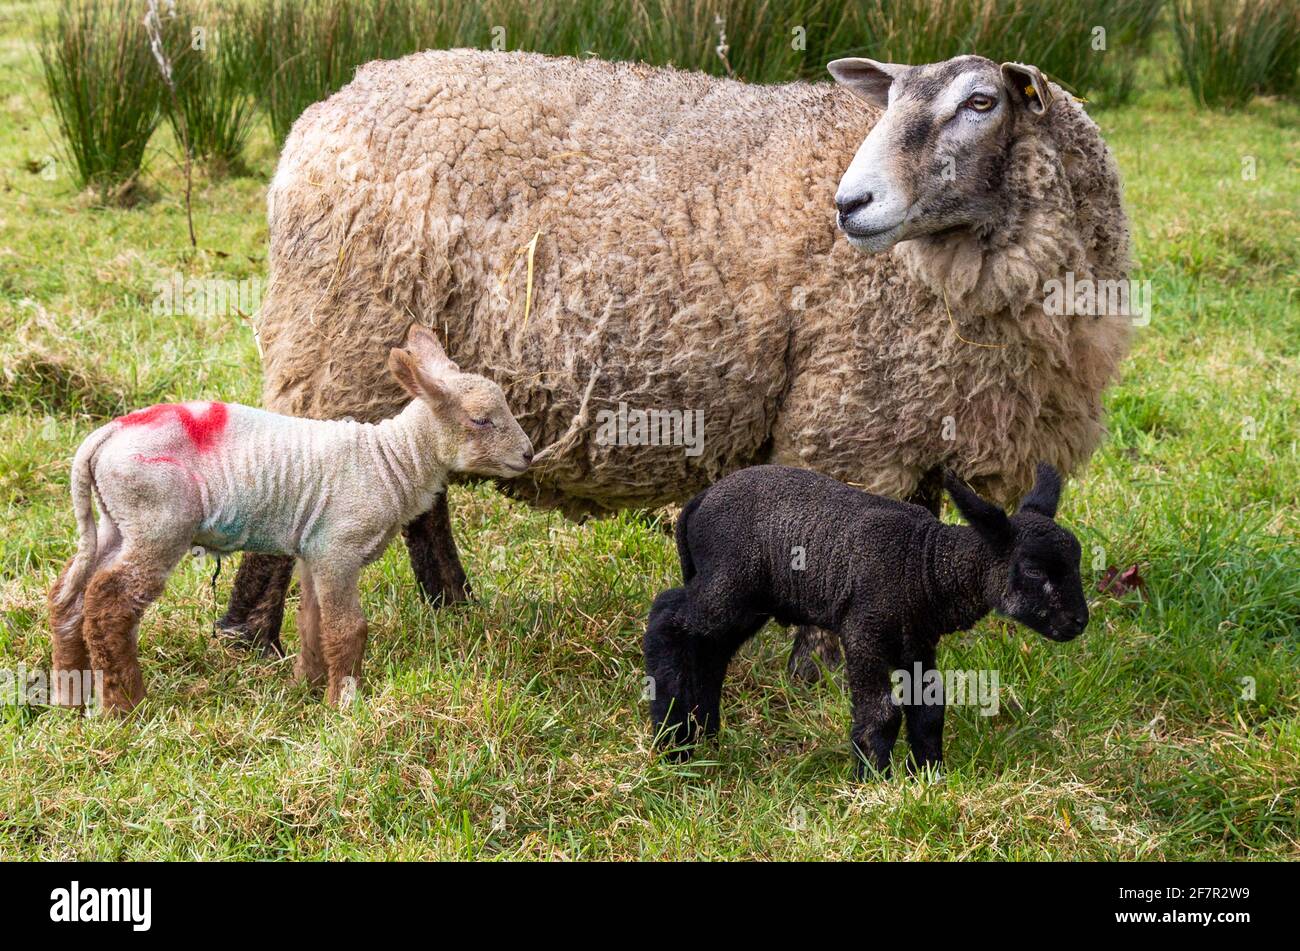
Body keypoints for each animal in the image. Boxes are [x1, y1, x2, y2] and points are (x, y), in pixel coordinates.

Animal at [220, 50, 1128, 675]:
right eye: (893, 100)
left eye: (981, 103)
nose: (850, 203)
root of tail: (325, 111)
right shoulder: (851, 420)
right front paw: (817, 679)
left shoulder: (919, 418)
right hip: (336, 340)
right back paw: (248, 639)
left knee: (423, 481)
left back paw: (453, 607)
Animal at [644, 462, 1092, 779]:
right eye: (1033, 571)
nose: (1079, 621)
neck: (926, 566)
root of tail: (697, 502)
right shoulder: (863, 630)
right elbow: (881, 712)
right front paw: (874, 782)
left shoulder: (917, 642)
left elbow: (929, 710)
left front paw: (929, 776)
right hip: (729, 581)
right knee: (667, 618)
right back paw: (672, 741)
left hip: (748, 600)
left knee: (709, 650)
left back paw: (705, 737)